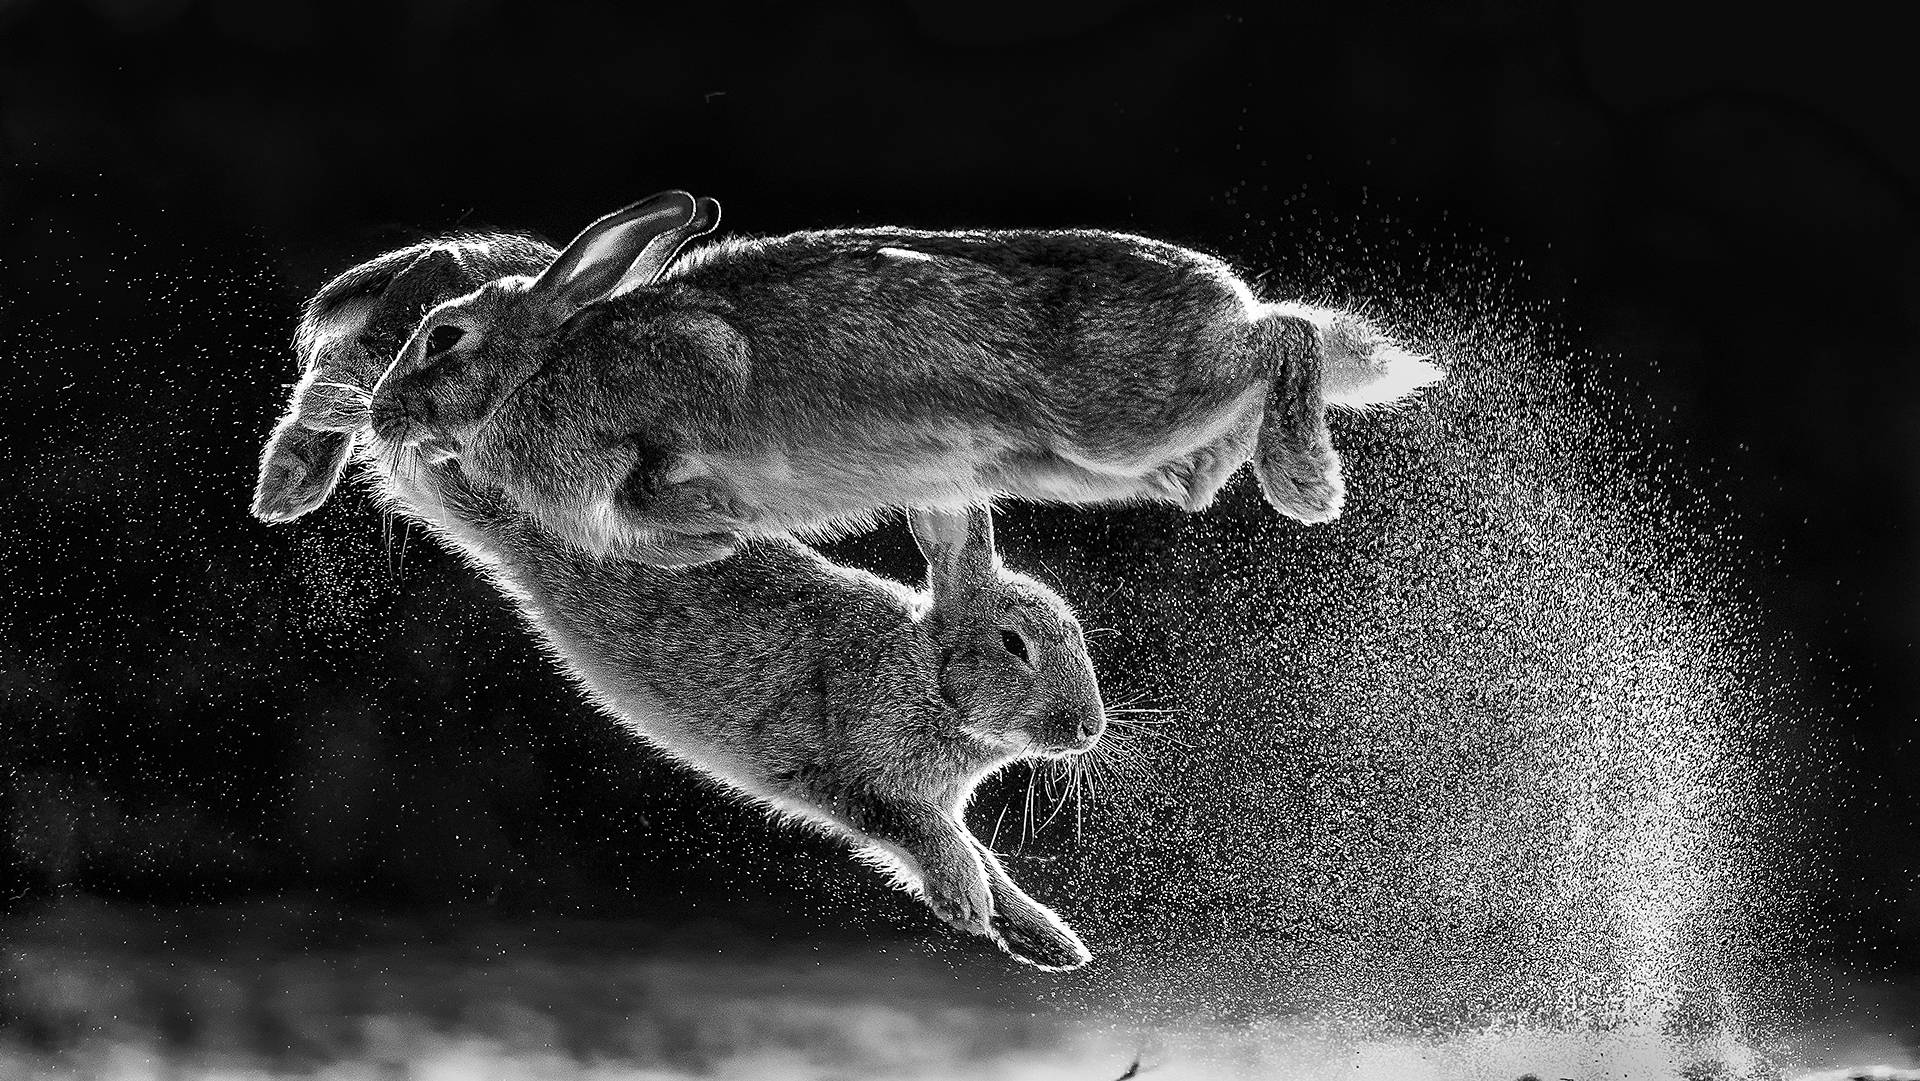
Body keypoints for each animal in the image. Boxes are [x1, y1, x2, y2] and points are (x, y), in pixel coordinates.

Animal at [254, 234, 1102, 971]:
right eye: (1015, 643)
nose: (1087, 729)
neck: (925, 671)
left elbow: (987, 857)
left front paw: (1048, 942)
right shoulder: (846, 772)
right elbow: (929, 836)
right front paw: (968, 902)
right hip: (461, 467)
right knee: (363, 391)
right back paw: (293, 473)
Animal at [362, 190, 1445, 565]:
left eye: (444, 338)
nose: (376, 415)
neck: (540, 365)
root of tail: (1225, 296)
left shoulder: (691, 369)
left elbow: (676, 442)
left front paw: (701, 507)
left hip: (1124, 413)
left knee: (1288, 336)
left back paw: (1306, 481)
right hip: (1117, 457)